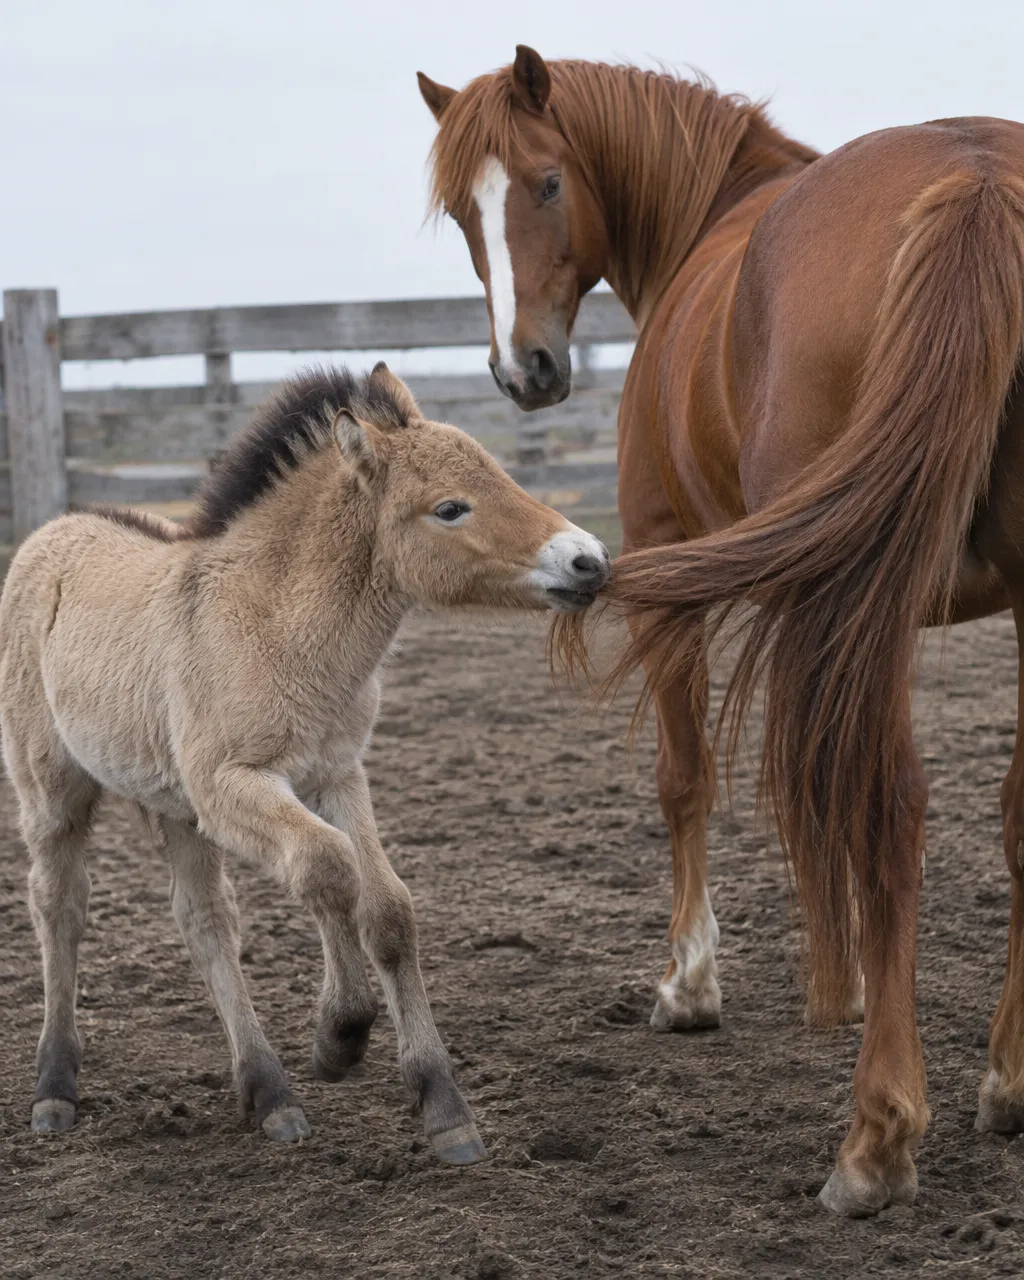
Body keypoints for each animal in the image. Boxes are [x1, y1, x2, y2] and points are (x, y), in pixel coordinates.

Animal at [1, 361, 609, 1162]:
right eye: (450, 508)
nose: (589, 560)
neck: (274, 621)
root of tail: (52, 531)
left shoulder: (336, 774)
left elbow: (384, 907)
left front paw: (443, 1105)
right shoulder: (229, 786)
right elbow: (326, 869)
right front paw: (340, 1037)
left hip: (173, 807)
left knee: (205, 921)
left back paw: (268, 1092)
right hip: (54, 792)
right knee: (60, 907)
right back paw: (55, 1088)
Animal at [418, 46, 1024, 1213]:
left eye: (547, 183)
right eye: (465, 214)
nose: (525, 371)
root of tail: (975, 179)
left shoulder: (672, 574)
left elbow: (691, 779)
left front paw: (690, 983)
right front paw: (858, 979)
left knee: (890, 806)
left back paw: (876, 1138)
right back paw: (1006, 1080)